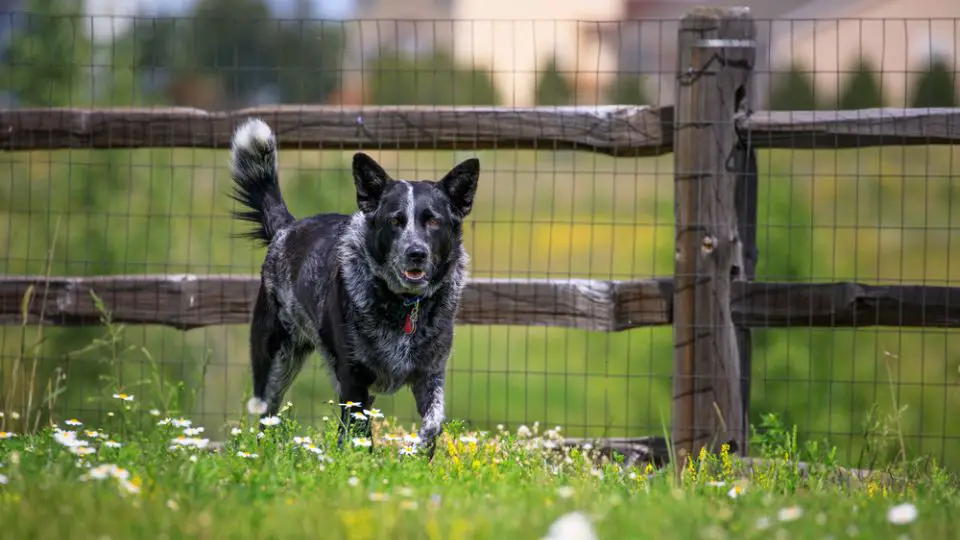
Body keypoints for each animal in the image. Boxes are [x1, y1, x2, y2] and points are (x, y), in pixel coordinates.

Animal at [226, 117, 480, 456]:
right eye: (395, 221)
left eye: (433, 221)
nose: (416, 253)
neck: (404, 305)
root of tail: (285, 229)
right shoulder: (353, 376)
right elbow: (359, 432)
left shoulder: (430, 374)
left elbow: (433, 423)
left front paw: (415, 454)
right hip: (276, 361)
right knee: (267, 418)